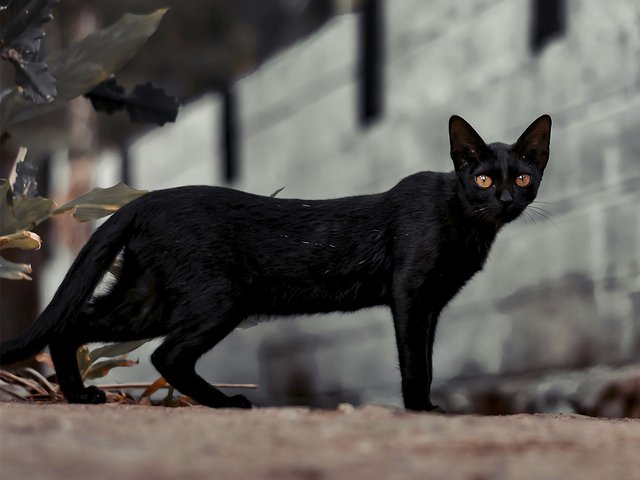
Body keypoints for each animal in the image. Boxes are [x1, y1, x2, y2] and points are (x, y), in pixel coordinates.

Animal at [0, 114, 552, 410]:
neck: (467, 221)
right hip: (220, 297)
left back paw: (80, 397)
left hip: (147, 297)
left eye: (523, 177)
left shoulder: (431, 304)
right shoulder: (412, 293)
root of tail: (145, 201)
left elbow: (430, 359)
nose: (505, 198)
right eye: (482, 179)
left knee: (74, 326)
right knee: (166, 355)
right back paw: (226, 403)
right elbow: (416, 360)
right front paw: (421, 409)